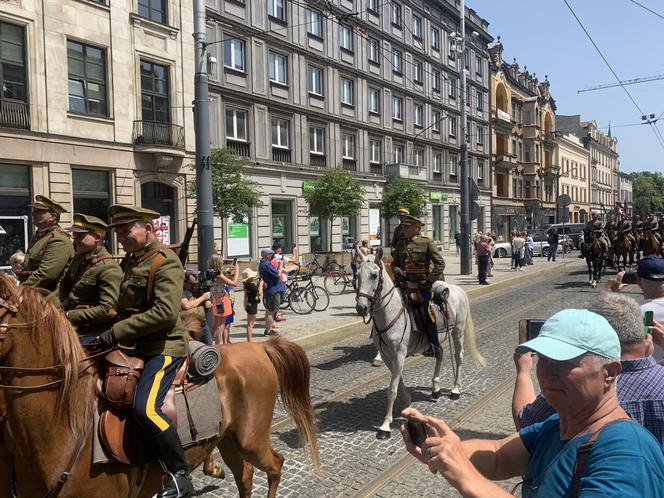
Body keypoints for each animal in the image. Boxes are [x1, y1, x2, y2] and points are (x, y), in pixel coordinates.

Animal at [356, 251, 486, 438]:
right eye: (357, 274)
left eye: (374, 275)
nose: (361, 307)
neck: (390, 312)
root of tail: (456, 289)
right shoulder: (388, 355)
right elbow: (398, 382)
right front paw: (408, 403)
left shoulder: (399, 354)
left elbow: (392, 390)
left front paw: (385, 426)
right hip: (437, 339)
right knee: (440, 354)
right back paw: (436, 389)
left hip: (458, 331)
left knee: (458, 357)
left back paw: (455, 390)